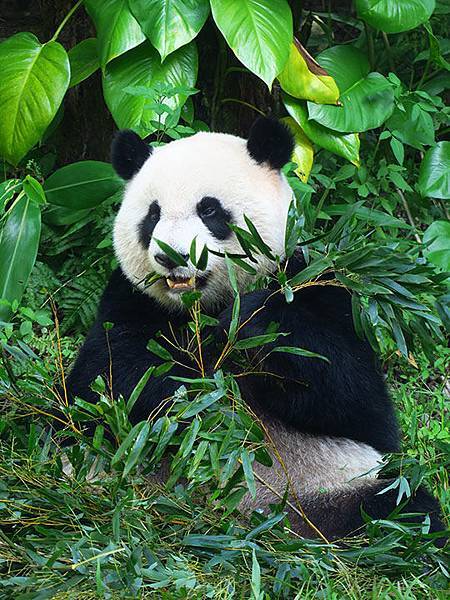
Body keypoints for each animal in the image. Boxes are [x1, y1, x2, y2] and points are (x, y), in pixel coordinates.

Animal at [65, 117, 444, 544]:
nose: (171, 256)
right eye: (152, 216)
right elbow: (104, 380)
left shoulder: (317, 282)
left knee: (403, 512)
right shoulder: (131, 299)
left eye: (210, 209)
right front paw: (194, 393)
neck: (204, 308)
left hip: (340, 482)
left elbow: (360, 403)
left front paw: (254, 322)